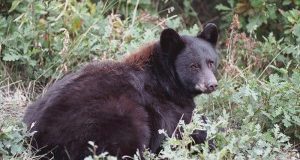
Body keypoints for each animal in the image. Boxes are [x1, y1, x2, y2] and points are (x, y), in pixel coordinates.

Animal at [23, 23, 219, 159]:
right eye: (194, 66)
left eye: (211, 62)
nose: (212, 84)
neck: (164, 79)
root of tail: (38, 140)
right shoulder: (165, 108)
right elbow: (184, 130)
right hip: (112, 115)